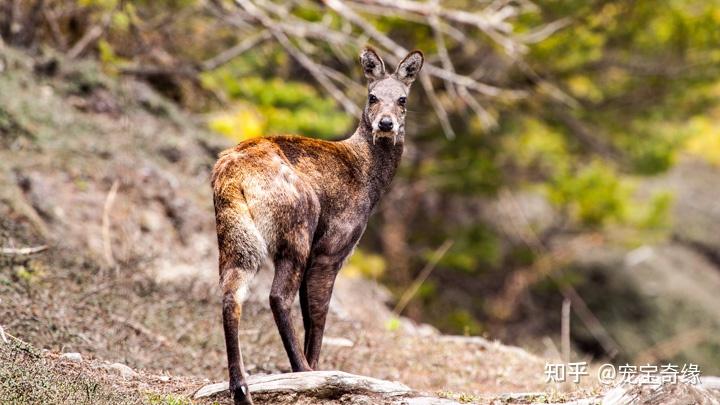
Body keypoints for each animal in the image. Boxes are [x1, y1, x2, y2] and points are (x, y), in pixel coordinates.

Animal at [210, 48, 422, 404]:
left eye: (403, 98)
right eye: (372, 96)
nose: (386, 123)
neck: (369, 179)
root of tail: (231, 176)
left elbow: (310, 315)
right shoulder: (332, 247)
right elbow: (319, 314)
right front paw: (321, 373)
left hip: (233, 234)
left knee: (231, 293)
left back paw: (241, 388)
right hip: (297, 226)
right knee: (277, 296)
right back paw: (302, 371)